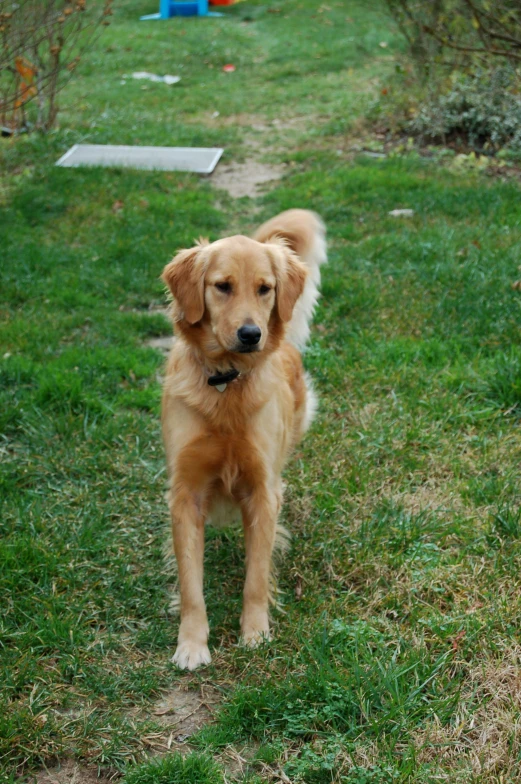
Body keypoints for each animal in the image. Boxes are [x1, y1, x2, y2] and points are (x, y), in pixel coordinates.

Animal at [162, 211, 324, 672]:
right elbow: (191, 584)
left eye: (264, 289)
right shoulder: (185, 492)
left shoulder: (263, 489)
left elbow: (256, 574)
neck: (225, 384)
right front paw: (191, 645)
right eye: (222, 286)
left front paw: (255, 634)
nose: (251, 333)